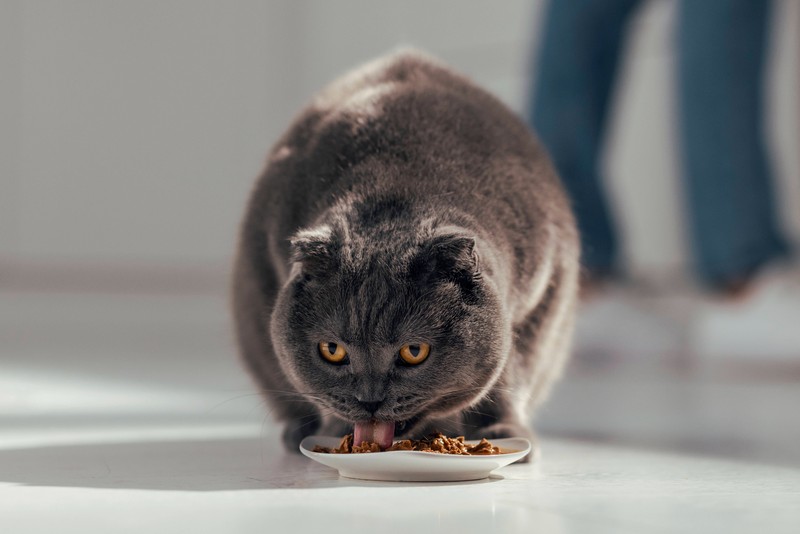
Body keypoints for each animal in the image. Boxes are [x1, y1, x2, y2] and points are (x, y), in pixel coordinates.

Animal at [230, 50, 576, 454]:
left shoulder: (545, 290)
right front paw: (335, 431)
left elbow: (512, 371)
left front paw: (502, 431)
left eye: (414, 351)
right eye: (332, 350)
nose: (370, 400)